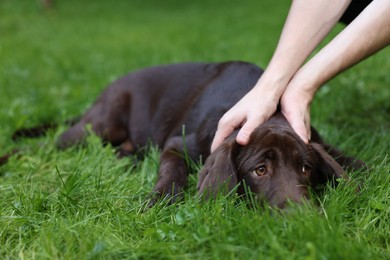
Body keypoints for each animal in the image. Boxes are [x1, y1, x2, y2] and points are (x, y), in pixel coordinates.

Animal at [2, 61, 366, 207]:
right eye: (260, 170)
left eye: (306, 169)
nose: (301, 218)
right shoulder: (177, 143)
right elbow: (172, 169)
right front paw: (162, 197)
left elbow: (335, 153)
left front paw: (356, 165)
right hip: (98, 126)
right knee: (49, 144)